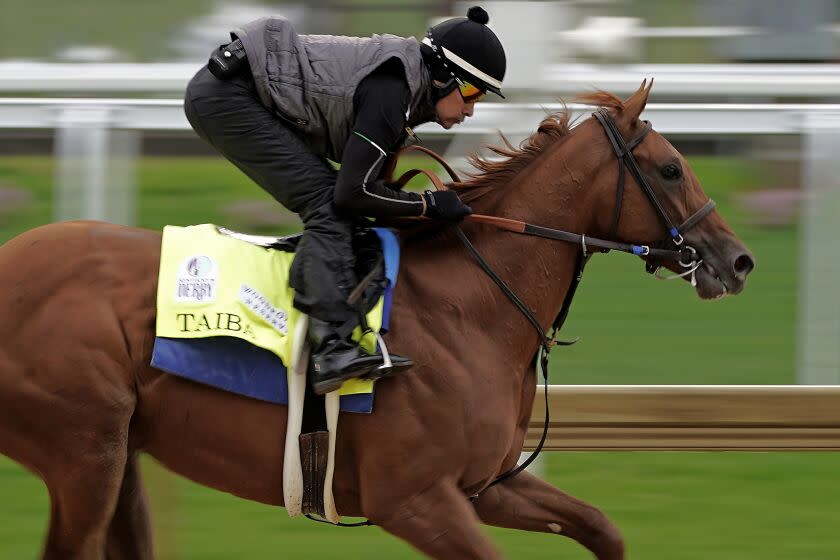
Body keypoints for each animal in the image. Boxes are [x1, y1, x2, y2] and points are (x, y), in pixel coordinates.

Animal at [0, 84, 756, 560]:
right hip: (85, 452)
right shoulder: (416, 500)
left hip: (119, 454)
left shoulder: (485, 486)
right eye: (670, 168)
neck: (472, 308)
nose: (737, 260)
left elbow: (603, 529)